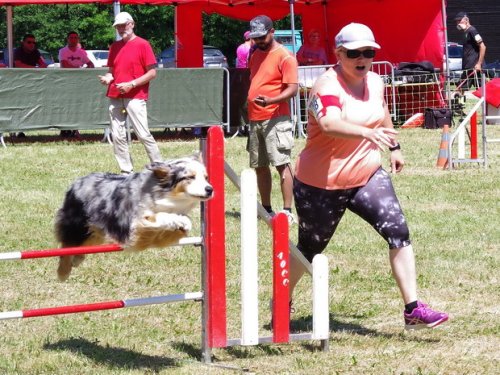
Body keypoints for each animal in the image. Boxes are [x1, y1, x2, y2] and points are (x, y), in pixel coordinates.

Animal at [54, 156, 213, 282]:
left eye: (205, 177)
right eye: (190, 177)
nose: (210, 189)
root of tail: (76, 182)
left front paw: (181, 222)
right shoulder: (133, 222)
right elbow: (159, 216)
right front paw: (178, 220)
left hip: (96, 231)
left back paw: (78, 259)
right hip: (77, 226)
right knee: (67, 246)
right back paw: (63, 272)